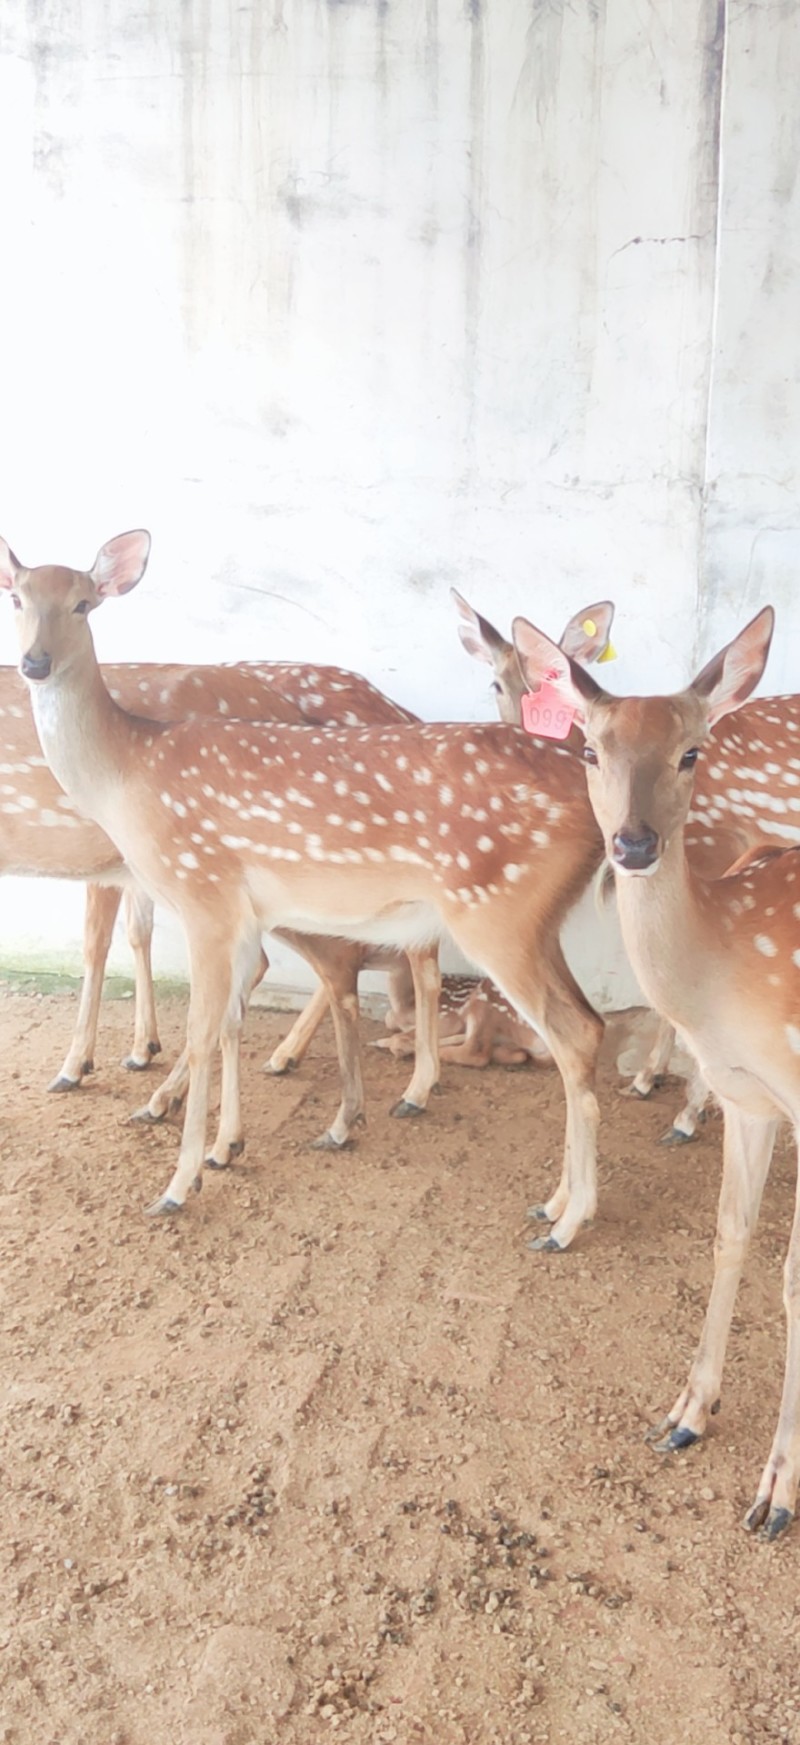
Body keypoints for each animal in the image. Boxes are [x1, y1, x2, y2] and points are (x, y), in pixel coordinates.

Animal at [1, 529, 607, 1246]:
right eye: (17, 597)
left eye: (84, 603)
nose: (34, 663)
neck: (127, 773)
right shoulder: (233, 912)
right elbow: (229, 1019)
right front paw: (224, 1146)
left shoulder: (203, 891)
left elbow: (198, 1029)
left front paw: (177, 1182)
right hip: (537, 920)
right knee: (586, 1026)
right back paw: (548, 1202)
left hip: (498, 911)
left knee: (571, 1034)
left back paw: (567, 1221)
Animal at [510, 601, 800, 1540]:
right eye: (590, 750)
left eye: (692, 751)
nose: (633, 844)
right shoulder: (751, 1098)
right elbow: (730, 1235)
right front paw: (686, 1414)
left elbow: (794, 1276)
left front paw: (779, 1493)